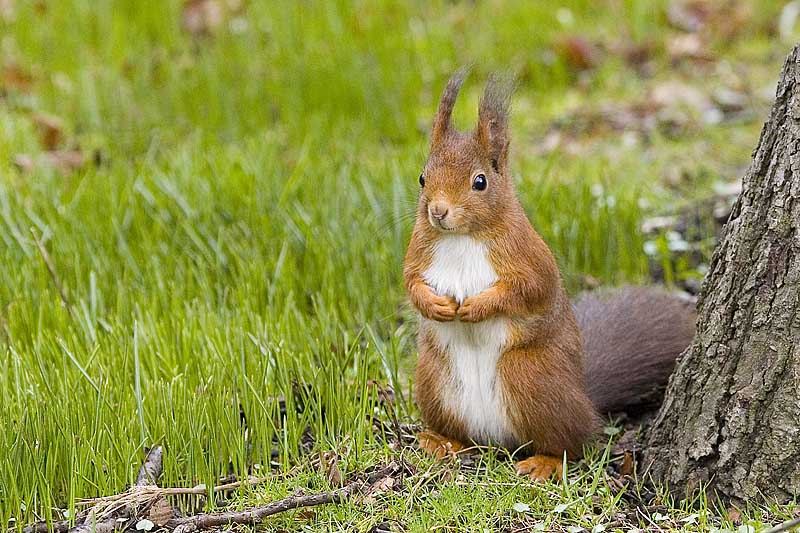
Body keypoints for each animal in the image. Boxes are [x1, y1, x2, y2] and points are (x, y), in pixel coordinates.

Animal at [404, 68, 696, 480]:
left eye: (480, 181)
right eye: (422, 178)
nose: (438, 212)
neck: (462, 237)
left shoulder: (529, 258)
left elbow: (530, 290)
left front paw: (478, 307)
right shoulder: (419, 252)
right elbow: (411, 283)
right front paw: (436, 306)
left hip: (530, 377)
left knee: (572, 442)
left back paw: (545, 462)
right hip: (433, 380)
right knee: (463, 433)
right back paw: (442, 441)